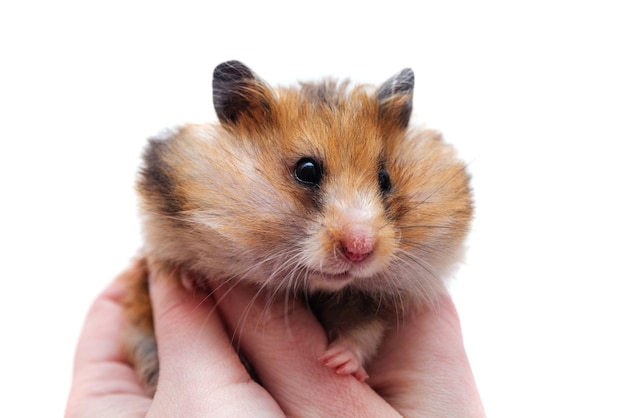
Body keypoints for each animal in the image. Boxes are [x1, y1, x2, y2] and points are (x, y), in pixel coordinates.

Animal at [122, 59, 470, 396]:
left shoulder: (370, 303)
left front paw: (337, 364)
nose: (359, 250)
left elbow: (362, 333)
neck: (316, 290)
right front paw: (187, 280)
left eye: (385, 179)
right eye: (306, 170)